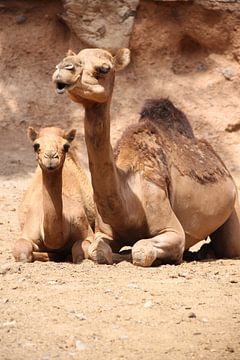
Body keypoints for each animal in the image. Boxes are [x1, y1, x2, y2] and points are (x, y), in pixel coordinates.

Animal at [12, 126, 94, 262]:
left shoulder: (86, 231)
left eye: (66, 146)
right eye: (36, 145)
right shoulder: (28, 231)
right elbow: (23, 253)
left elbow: (78, 253)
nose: (51, 156)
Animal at [52, 47, 240, 266]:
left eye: (104, 68)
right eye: (71, 58)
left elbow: (141, 250)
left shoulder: (173, 232)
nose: (63, 68)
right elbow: (97, 251)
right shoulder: (103, 232)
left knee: (230, 244)